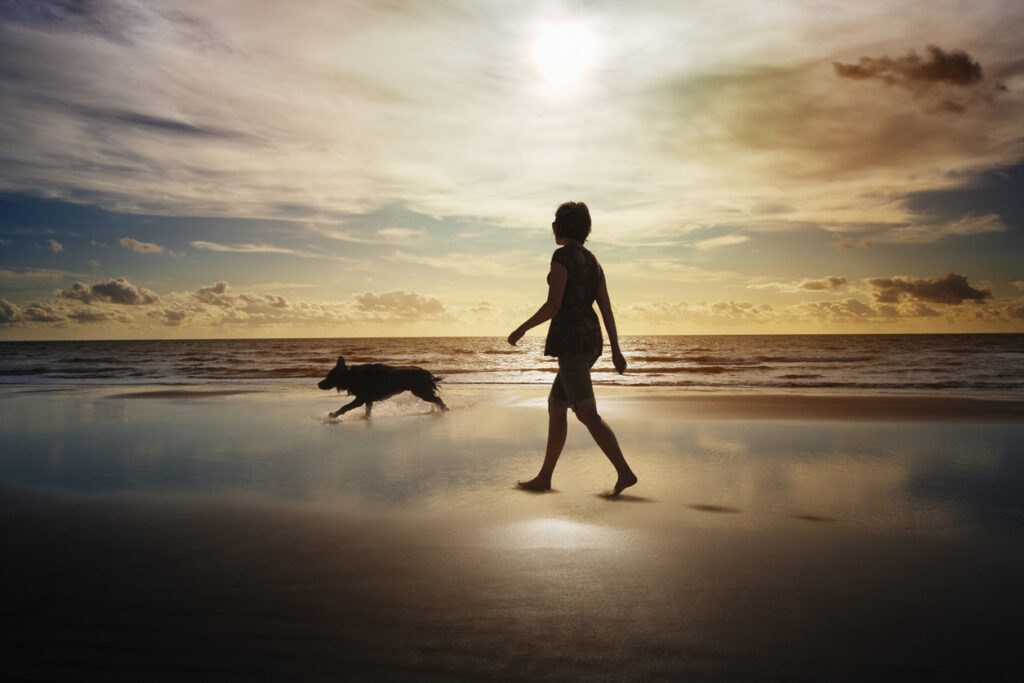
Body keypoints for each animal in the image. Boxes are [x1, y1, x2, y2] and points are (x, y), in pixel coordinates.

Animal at [317, 356, 446, 419]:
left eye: (329, 376)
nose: (318, 384)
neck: (352, 375)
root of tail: (426, 372)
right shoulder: (368, 400)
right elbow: (367, 411)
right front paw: (366, 418)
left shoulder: (361, 399)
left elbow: (345, 407)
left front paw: (334, 415)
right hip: (421, 391)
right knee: (435, 399)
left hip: (421, 391)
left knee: (437, 399)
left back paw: (445, 409)